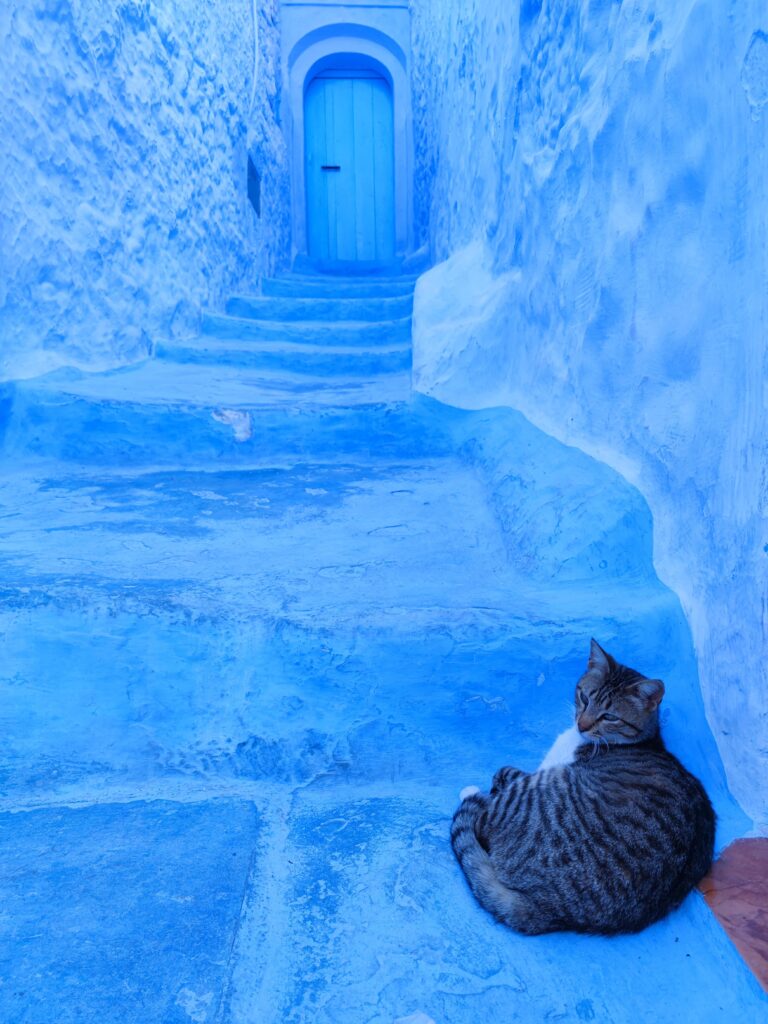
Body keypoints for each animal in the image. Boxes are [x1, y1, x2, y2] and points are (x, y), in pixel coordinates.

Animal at [454, 638, 720, 937]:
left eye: (610, 716)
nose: (581, 724)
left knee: (482, 818)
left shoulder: (539, 774)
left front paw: (484, 786)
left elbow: (504, 773)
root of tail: (551, 909)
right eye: (584, 698)